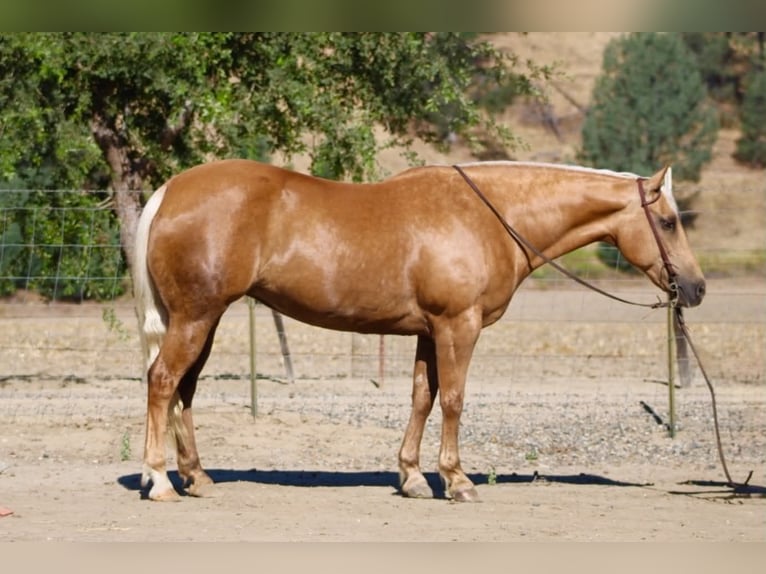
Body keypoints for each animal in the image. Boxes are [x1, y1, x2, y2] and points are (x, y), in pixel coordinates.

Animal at [133, 159, 705, 502]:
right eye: (670, 222)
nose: (696, 288)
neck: (488, 216)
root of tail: (171, 191)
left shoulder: (430, 332)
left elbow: (422, 398)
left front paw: (410, 476)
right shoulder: (458, 326)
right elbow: (452, 399)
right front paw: (457, 480)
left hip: (203, 320)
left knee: (183, 389)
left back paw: (196, 477)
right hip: (197, 317)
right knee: (162, 382)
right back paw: (159, 480)